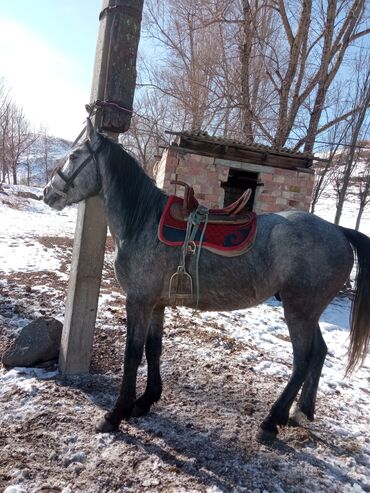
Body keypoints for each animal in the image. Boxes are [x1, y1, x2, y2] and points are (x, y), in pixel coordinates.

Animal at [44, 120, 370, 442]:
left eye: (74, 155)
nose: (48, 193)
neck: (142, 222)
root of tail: (339, 232)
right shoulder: (157, 303)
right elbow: (153, 349)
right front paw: (146, 400)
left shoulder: (138, 300)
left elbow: (132, 354)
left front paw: (116, 414)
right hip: (308, 311)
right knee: (319, 353)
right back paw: (299, 412)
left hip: (298, 311)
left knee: (303, 360)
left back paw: (270, 422)